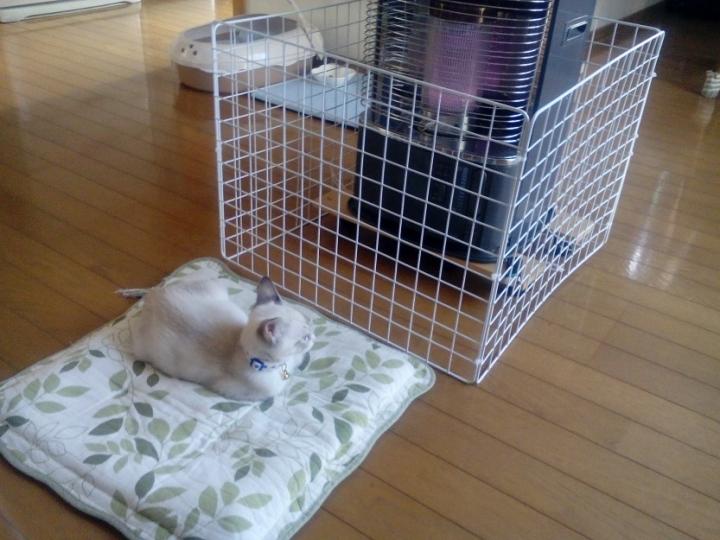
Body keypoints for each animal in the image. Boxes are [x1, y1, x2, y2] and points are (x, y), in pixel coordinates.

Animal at [125, 276, 314, 401]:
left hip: (215, 285)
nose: (314, 336)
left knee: (158, 286)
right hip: (143, 349)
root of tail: (155, 298)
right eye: (304, 338)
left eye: (308, 325)